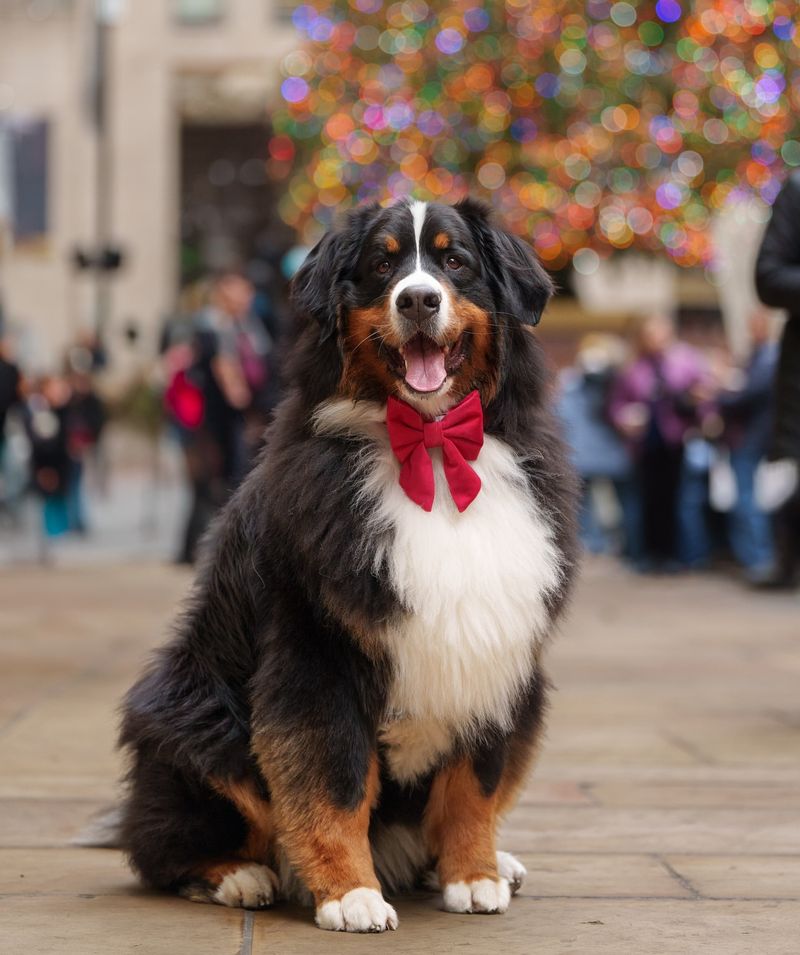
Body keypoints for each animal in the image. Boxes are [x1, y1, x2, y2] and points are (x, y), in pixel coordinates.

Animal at [120, 196, 576, 932]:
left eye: (455, 261)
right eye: (382, 265)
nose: (418, 299)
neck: (432, 448)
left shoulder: (495, 649)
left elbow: (473, 786)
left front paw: (473, 875)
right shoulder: (318, 657)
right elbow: (332, 782)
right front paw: (350, 894)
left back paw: (489, 863)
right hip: (194, 717)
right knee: (167, 843)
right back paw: (241, 876)